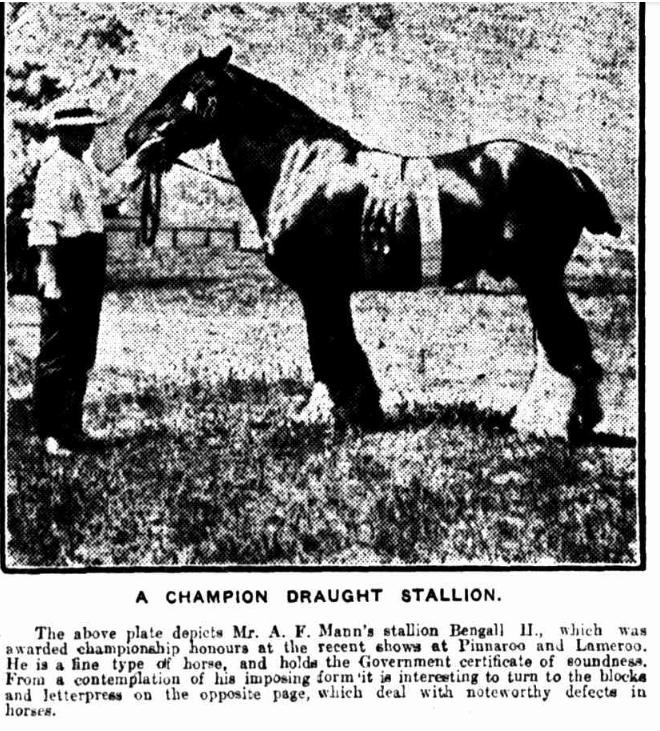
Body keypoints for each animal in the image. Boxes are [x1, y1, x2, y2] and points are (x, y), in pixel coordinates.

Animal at [125, 47, 624, 440]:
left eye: (183, 90)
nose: (132, 138)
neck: (299, 165)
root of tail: (566, 172)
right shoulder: (330, 290)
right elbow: (339, 347)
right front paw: (355, 410)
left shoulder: (319, 286)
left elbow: (328, 348)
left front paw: (327, 414)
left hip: (540, 276)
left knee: (563, 340)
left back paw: (546, 421)